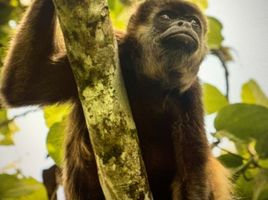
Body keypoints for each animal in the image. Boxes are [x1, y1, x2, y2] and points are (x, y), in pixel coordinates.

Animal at [0, 0, 231, 199]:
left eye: (194, 22)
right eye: (166, 16)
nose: (185, 24)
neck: (151, 85)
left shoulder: (190, 96)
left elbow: (192, 175)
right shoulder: (118, 50)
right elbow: (23, 85)